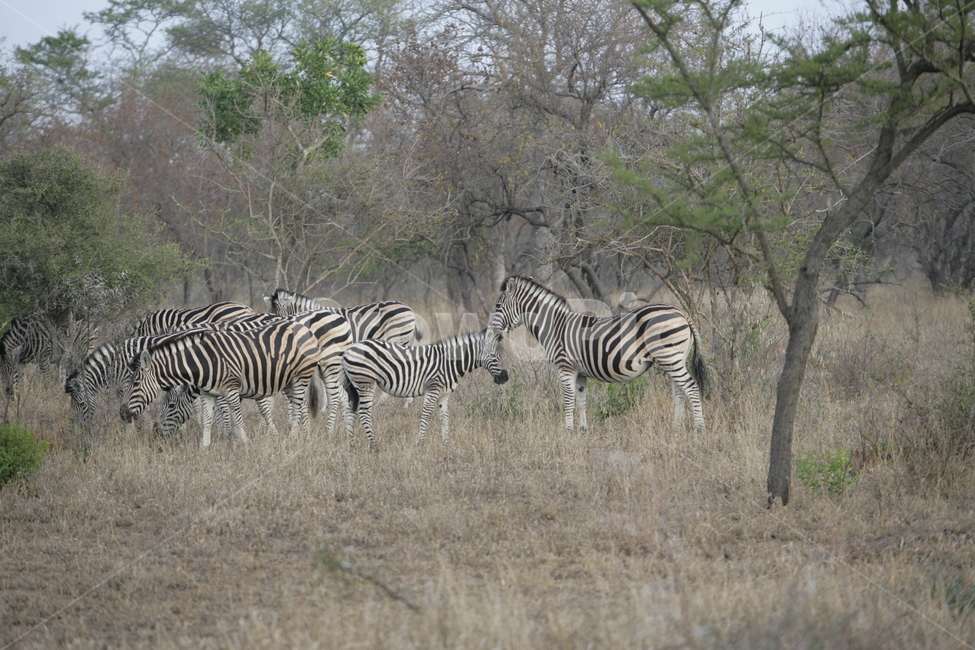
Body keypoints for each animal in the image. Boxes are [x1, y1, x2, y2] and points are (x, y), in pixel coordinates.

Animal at [120, 321, 324, 447]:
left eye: (136, 383)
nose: (122, 413)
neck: (203, 362)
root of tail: (304, 328)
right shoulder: (208, 393)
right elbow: (208, 420)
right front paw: (204, 448)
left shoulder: (232, 389)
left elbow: (237, 418)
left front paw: (244, 443)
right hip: (290, 381)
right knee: (302, 406)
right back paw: (305, 436)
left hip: (301, 376)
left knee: (297, 408)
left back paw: (292, 438)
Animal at [342, 329, 509, 450]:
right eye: (493, 355)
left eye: (502, 355)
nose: (505, 377)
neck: (449, 363)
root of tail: (349, 350)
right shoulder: (433, 389)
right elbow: (426, 416)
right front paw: (420, 444)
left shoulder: (444, 394)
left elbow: (444, 417)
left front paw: (447, 444)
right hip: (365, 382)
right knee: (364, 413)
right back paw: (374, 446)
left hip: (354, 387)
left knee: (350, 411)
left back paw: (351, 445)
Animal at [484, 276, 708, 431]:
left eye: (498, 306)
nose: (490, 332)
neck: (555, 327)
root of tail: (681, 312)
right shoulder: (580, 372)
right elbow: (581, 400)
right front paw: (582, 430)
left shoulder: (565, 367)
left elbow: (568, 400)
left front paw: (567, 430)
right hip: (673, 359)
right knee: (679, 391)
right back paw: (676, 427)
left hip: (669, 358)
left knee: (690, 386)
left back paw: (699, 428)